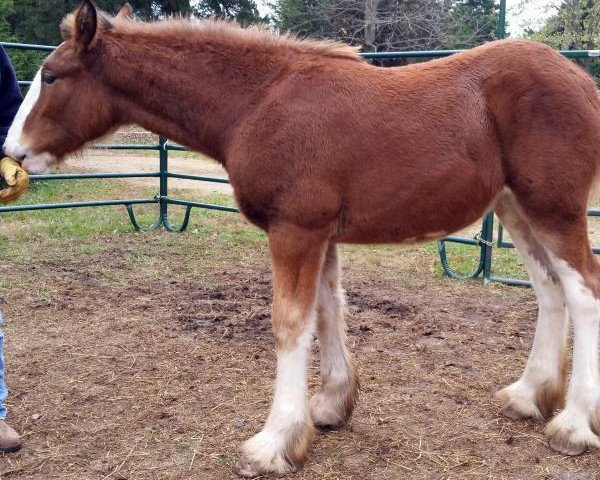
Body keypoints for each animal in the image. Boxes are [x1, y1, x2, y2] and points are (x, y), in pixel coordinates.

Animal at [7, 0, 600, 472]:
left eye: (52, 75)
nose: (13, 152)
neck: (259, 100)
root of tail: (584, 82)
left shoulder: (295, 230)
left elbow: (290, 323)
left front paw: (275, 442)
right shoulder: (322, 235)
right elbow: (328, 309)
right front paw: (332, 406)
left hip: (555, 210)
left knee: (584, 294)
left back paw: (573, 426)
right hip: (515, 209)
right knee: (550, 291)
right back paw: (528, 396)